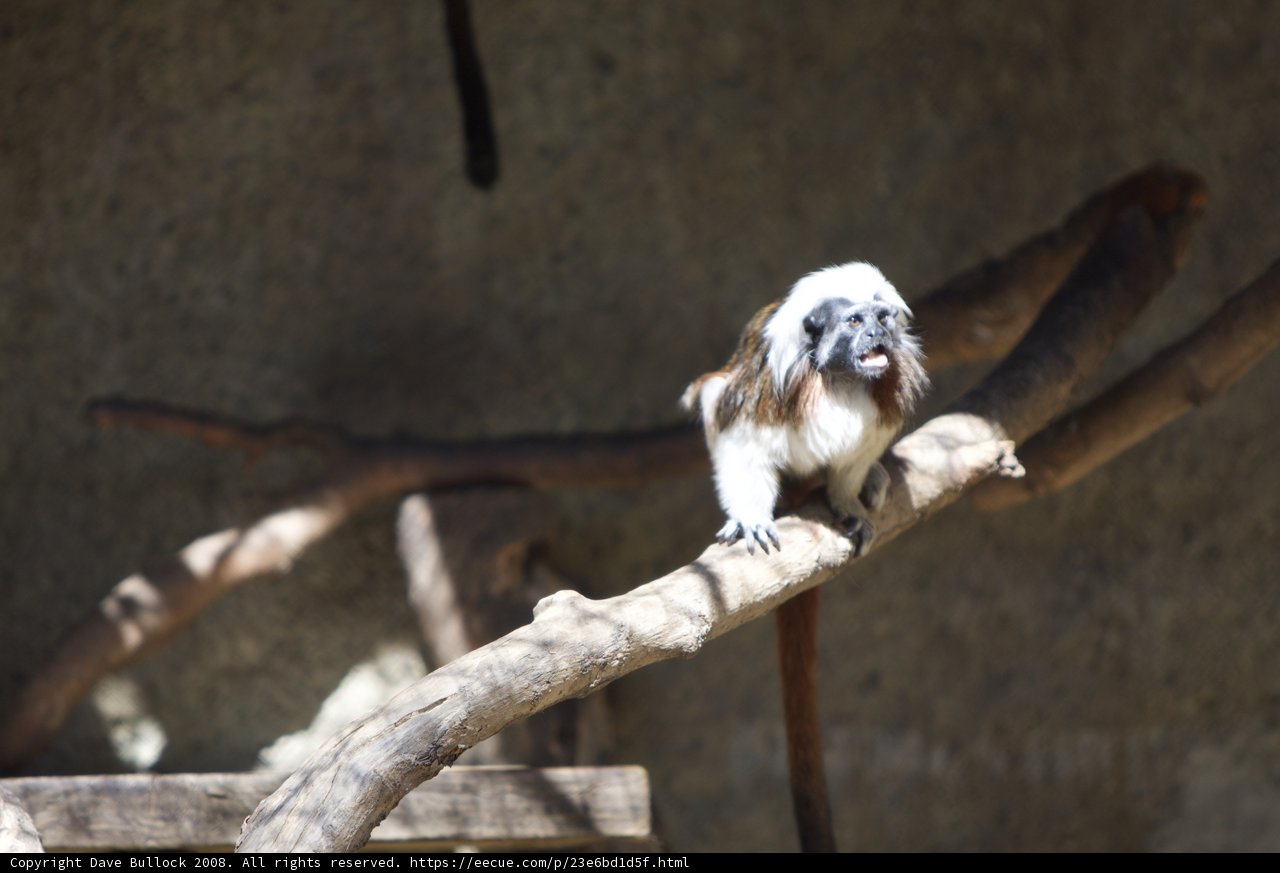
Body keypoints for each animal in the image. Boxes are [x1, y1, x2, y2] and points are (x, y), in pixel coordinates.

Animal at [681, 261, 928, 852]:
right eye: (856, 321)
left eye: (883, 317)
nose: (878, 334)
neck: (838, 380)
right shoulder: (768, 388)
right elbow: (738, 436)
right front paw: (751, 516)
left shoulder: (884, 398)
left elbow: (853, 459)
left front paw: (847, 500)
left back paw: (874, 480)